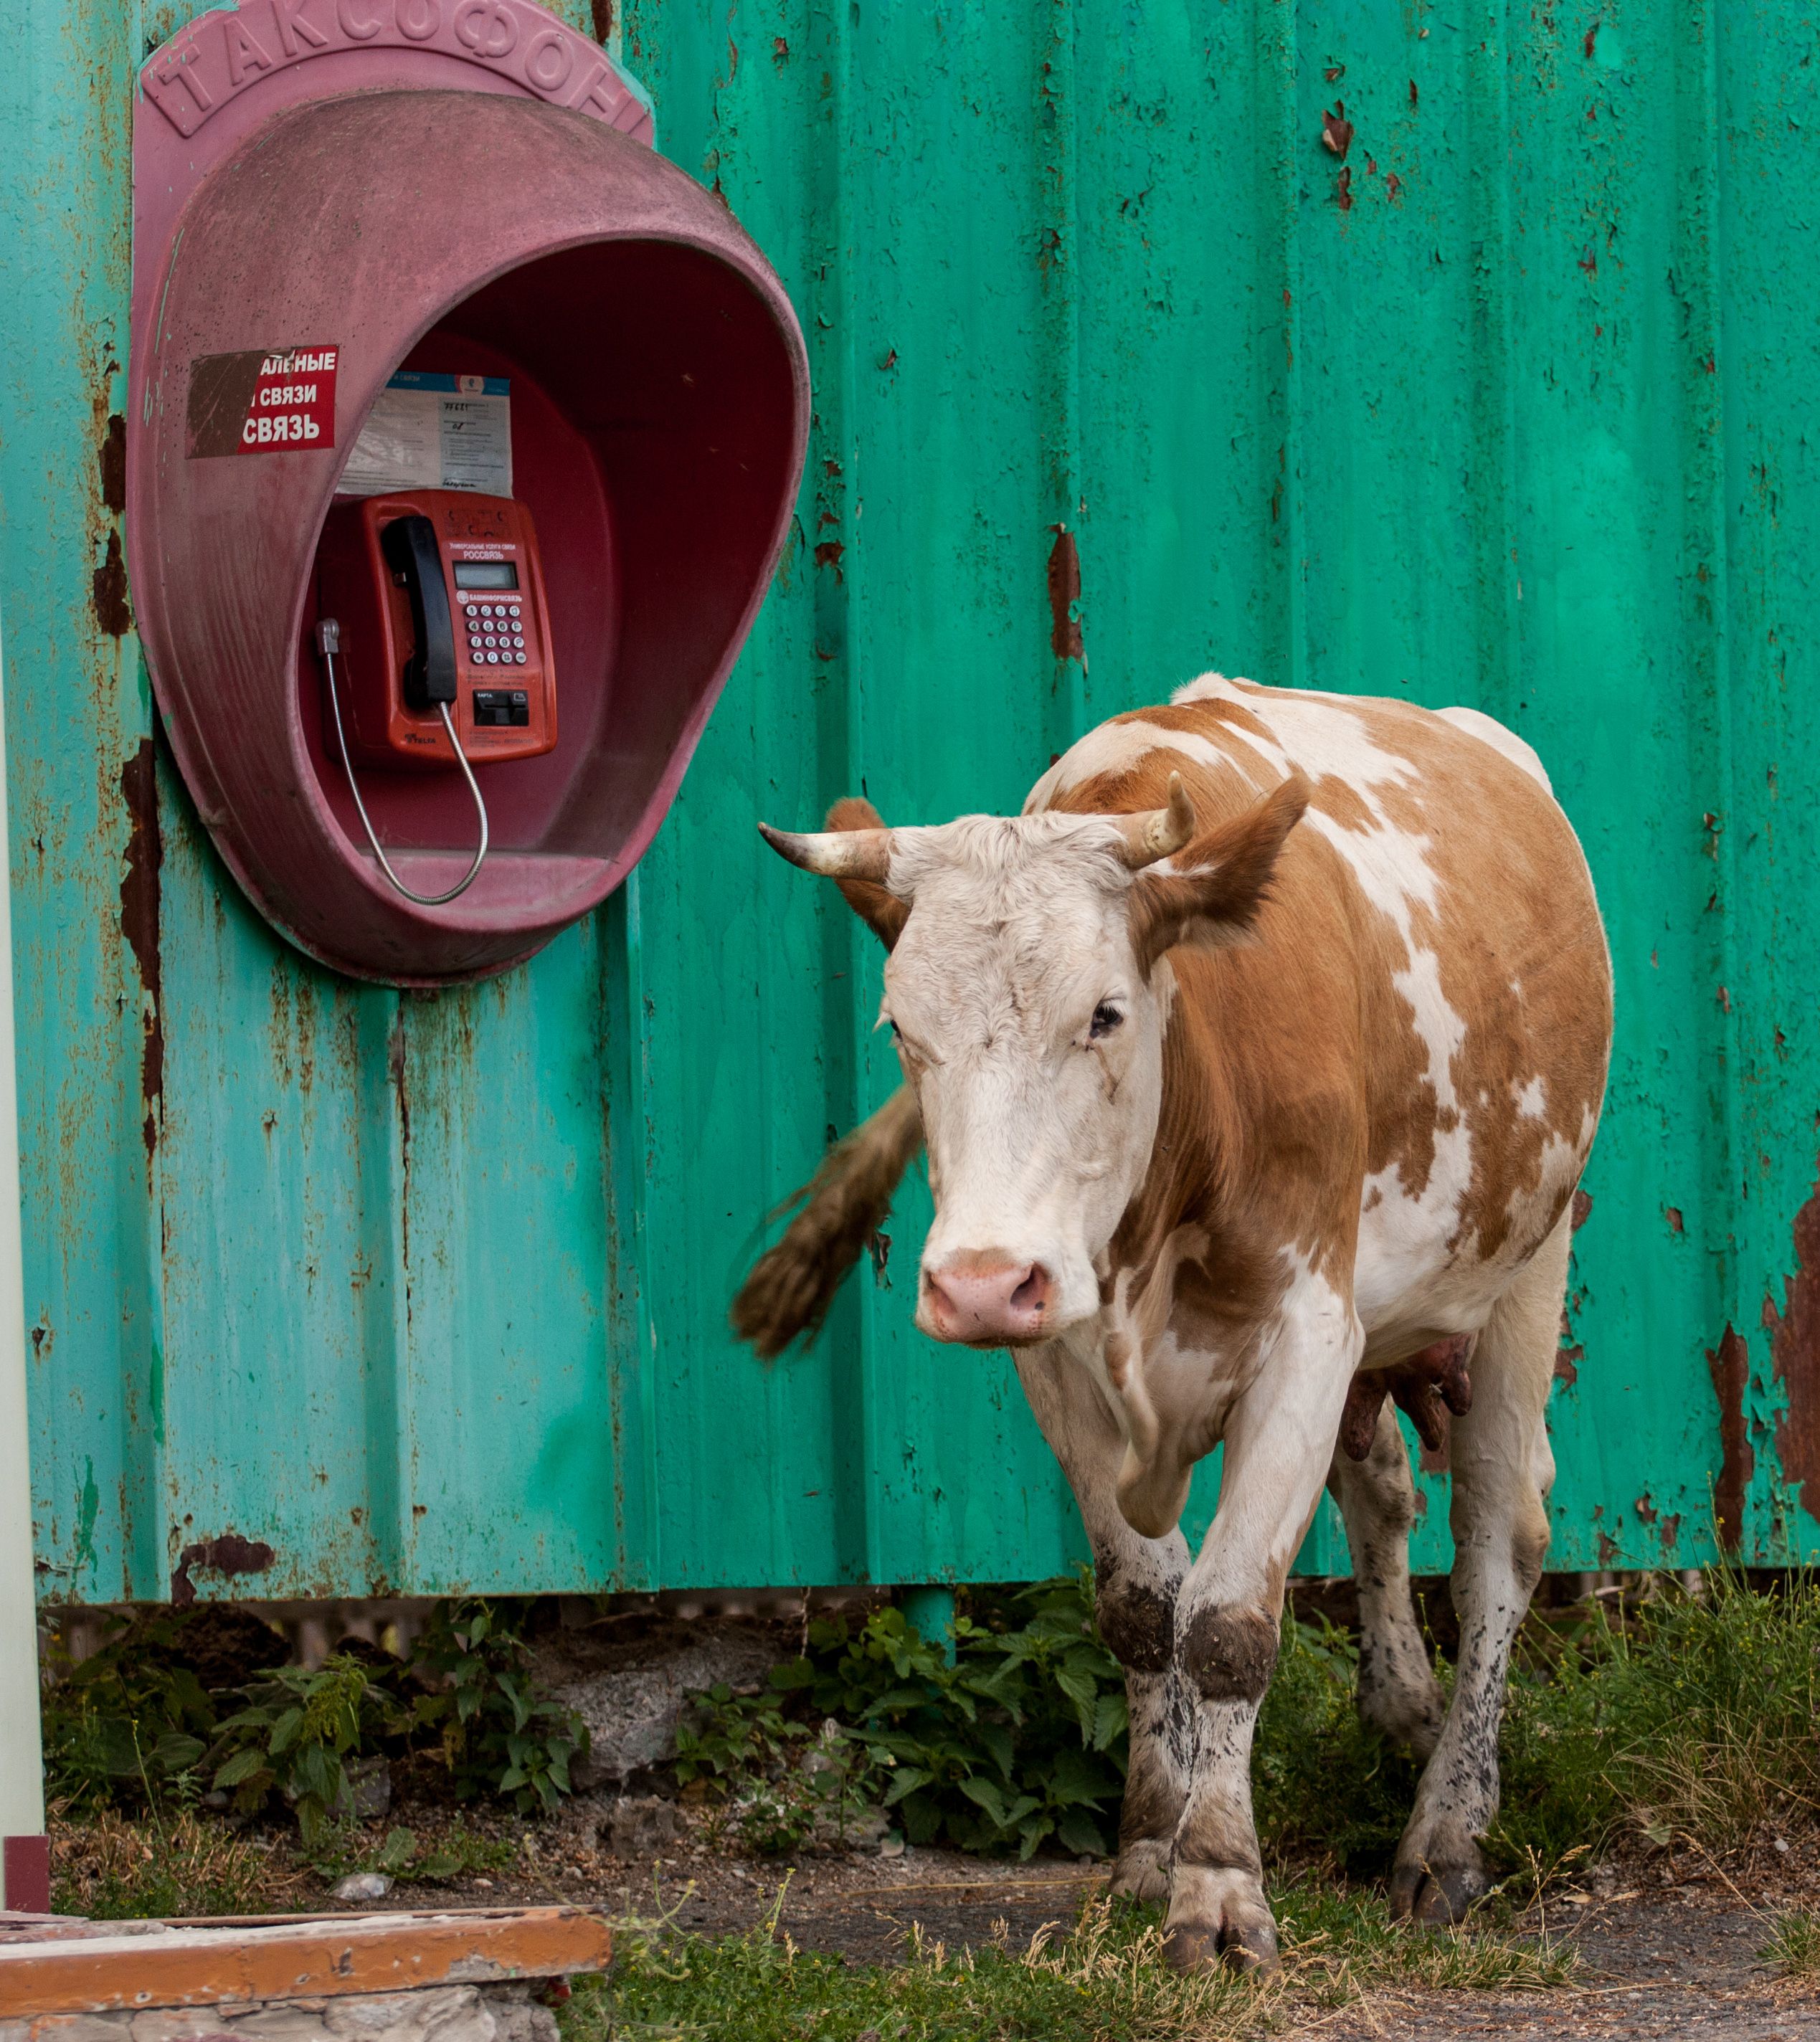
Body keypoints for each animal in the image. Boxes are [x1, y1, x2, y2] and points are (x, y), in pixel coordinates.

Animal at [735, 673, 1612, 1973]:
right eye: (898, 1028)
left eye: (1103, 1013)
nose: (979, 1282)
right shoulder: (1058, 1359)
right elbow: (1144, 1613)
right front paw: (1151, 1848)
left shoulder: (1305, 1330)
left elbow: (1230, 1623)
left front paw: (1220, 1889)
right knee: (1382, 1487)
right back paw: (1398, 1702)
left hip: (1526, 1262)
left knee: (1497, 1535)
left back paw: (1447, 1829)